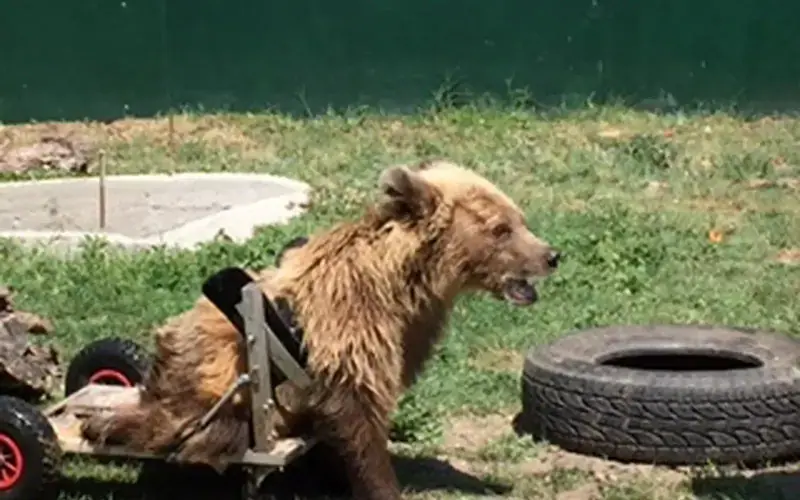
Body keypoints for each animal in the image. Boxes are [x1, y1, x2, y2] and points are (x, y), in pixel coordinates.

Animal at [80, 159, 560, 500]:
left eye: (518, 218)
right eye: (501, 229)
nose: (551, 254)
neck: (406, 284)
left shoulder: (407, 331)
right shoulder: (349, 325)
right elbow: (359, 415)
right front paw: (381, 484)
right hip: (211, 370)